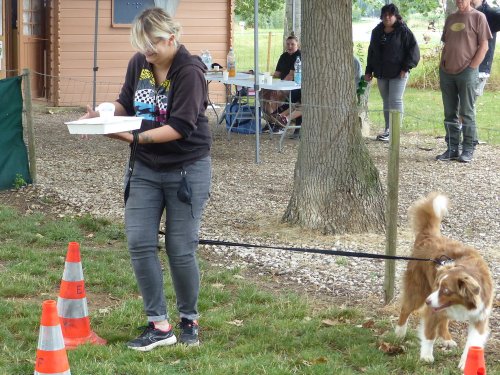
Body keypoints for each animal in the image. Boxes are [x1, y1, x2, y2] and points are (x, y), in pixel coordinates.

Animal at [396, 194, 494, 370]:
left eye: (446, 290)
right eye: (437, 286)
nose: (428, 301)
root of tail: (429, 236)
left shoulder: (480, 316)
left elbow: (473, 342)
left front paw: (466, 363)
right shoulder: (432, 308)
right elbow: (429, 334)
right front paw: (426, 356)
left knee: (443, 319)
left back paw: (447, 339)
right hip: (418, 290)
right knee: (406, 309)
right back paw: (399, 333)